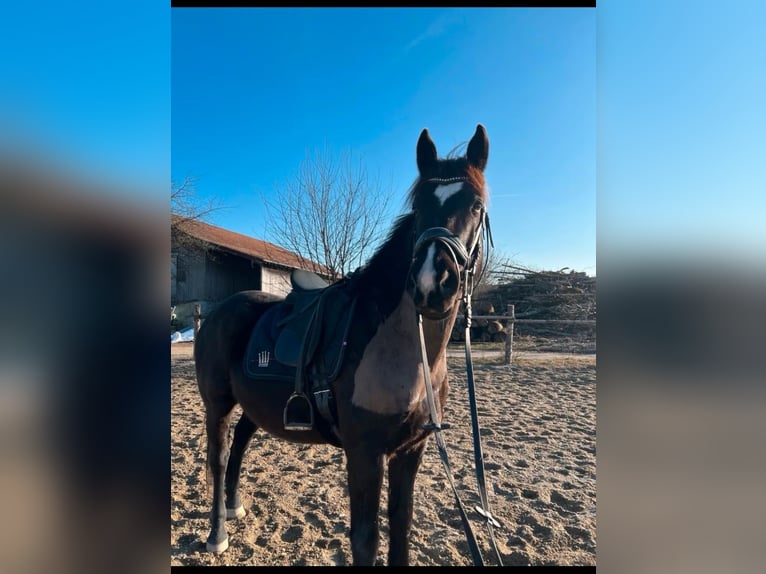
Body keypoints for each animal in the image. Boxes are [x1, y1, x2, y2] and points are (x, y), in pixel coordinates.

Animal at [194, 124, 491, 566]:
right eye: (419, 205)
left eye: (475, 205)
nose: (431, 285)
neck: (405, 352)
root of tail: (216, 313)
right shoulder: (365, 454)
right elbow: (365, 539)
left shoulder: (411, 450)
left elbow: (401, 526)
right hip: (217, 404)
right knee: (218, 458)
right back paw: (217, 533)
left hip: (253, 403)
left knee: (242, 443)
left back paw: (235, 506)